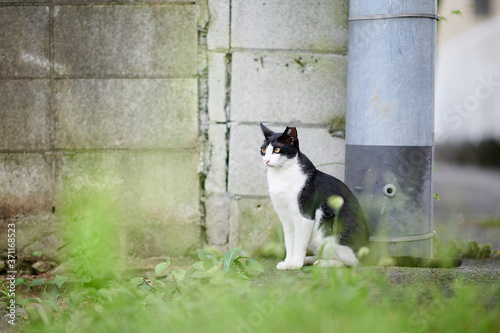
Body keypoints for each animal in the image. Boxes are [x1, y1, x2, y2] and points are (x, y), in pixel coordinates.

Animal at [260, 123, 370, 268]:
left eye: (277, 149)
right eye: (263, 150)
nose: (266, 160)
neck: (282, 174)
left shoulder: (305, 216)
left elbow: (299, 242)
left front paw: (295, 264)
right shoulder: (285, 218)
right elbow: (289, 241)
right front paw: (288, 262)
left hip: (330, 230)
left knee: (350, 263)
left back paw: (322, 263)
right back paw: (310, 259)